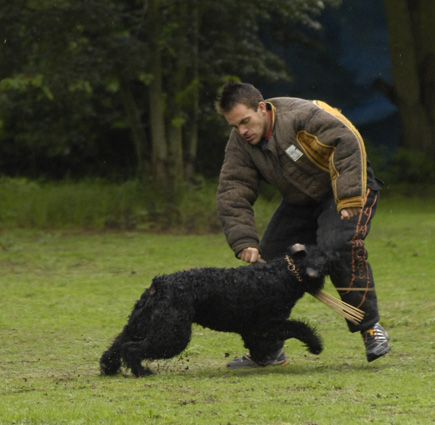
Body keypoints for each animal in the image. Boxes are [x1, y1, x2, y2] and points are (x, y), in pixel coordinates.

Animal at [100, 243, 328, 376]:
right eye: (327, 257)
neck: (283, 274)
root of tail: (159, 284)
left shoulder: (255, 330)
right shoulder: (266, 326)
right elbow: (298, 328)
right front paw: (315, 345)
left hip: (139, 325)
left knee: (117, 346)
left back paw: (109, 368)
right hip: (172, 335)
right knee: (131, 349)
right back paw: (142, 371)